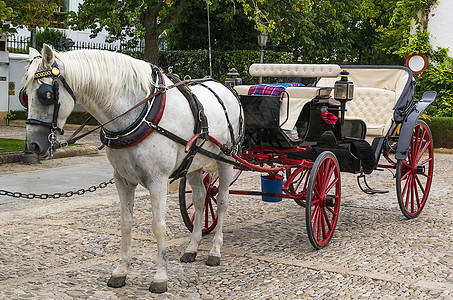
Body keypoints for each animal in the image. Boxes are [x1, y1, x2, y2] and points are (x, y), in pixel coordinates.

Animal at [23, 44, 244, 292]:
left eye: (45, 95)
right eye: (25, 95)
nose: (33, 145)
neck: (139, 114)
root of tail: (226, 88)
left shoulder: (158, 180)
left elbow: (158, 226)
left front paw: (160, 276)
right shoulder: (123, 180)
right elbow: (126, 224)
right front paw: (121, 271)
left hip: (226, 159)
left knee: (222, 202)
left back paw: (215, 251)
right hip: (195, 164)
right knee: (199, 199)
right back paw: (192, 248)